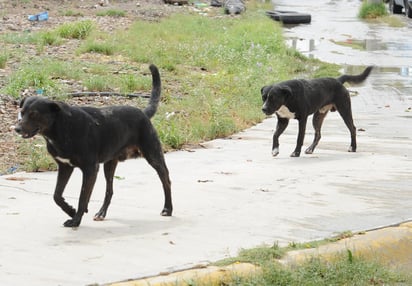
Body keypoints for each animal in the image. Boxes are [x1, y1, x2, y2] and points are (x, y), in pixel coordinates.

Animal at [15, 65, 173, 228]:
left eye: (34, 114)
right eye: (22, 113)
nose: (17, 129)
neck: (62, 128)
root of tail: (143, 113)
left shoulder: (90, 169)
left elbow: (82, 197)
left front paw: (75, 220)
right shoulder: (65, 167)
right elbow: (57, 195)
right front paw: (71, 211)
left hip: (153, 155)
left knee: (166, 180)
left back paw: (167, 209)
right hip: (109, 164)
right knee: (109, 190)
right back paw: (101, 213)